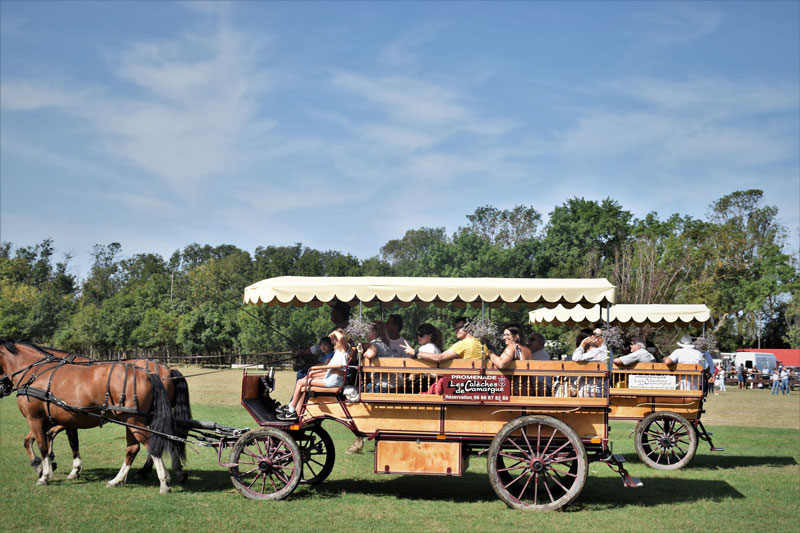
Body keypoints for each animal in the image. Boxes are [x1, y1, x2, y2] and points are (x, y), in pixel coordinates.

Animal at [0, 340, 178, 490]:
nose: (3, 388)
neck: (35, 372)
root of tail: (149, 373)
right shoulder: (56, 419)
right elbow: (51, 441)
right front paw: (47, 466)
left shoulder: (35, 418)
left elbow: (43, 444)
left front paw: (44, 473)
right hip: (132, 420)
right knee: (133, 448)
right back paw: (118, 480)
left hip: (134, 421)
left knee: (151, 445)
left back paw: (163, 481)